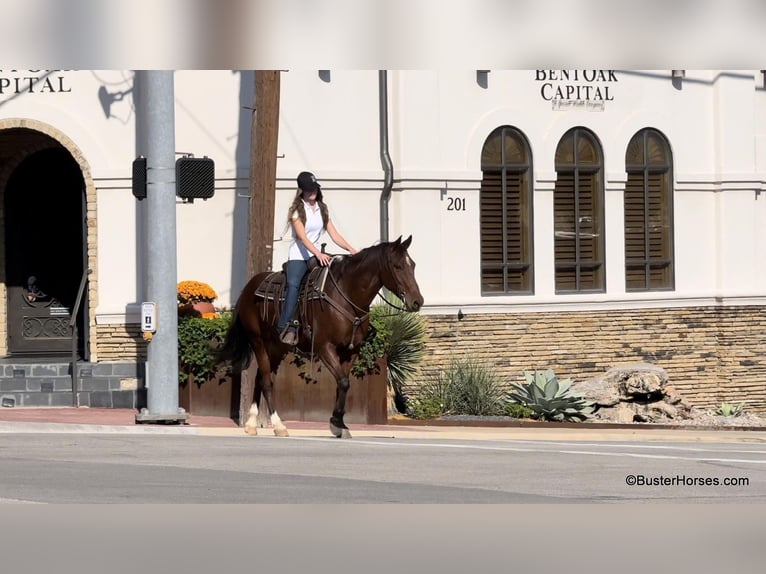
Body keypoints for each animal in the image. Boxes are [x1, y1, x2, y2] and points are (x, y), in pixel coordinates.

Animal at [219, 236, 426, 438]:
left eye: (414, 265)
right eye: (398, 266)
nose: (418, 301)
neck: (346, 293)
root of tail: (249, 287)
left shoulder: (350, 352)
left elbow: (342, 384)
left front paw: (340, 423)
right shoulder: (324, 347)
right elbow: (343, 382)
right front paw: (336, 423)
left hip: (277, 347)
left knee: (260, 378)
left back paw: (251, 423)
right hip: (258, 341)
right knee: (267, 382)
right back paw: (278, 425)